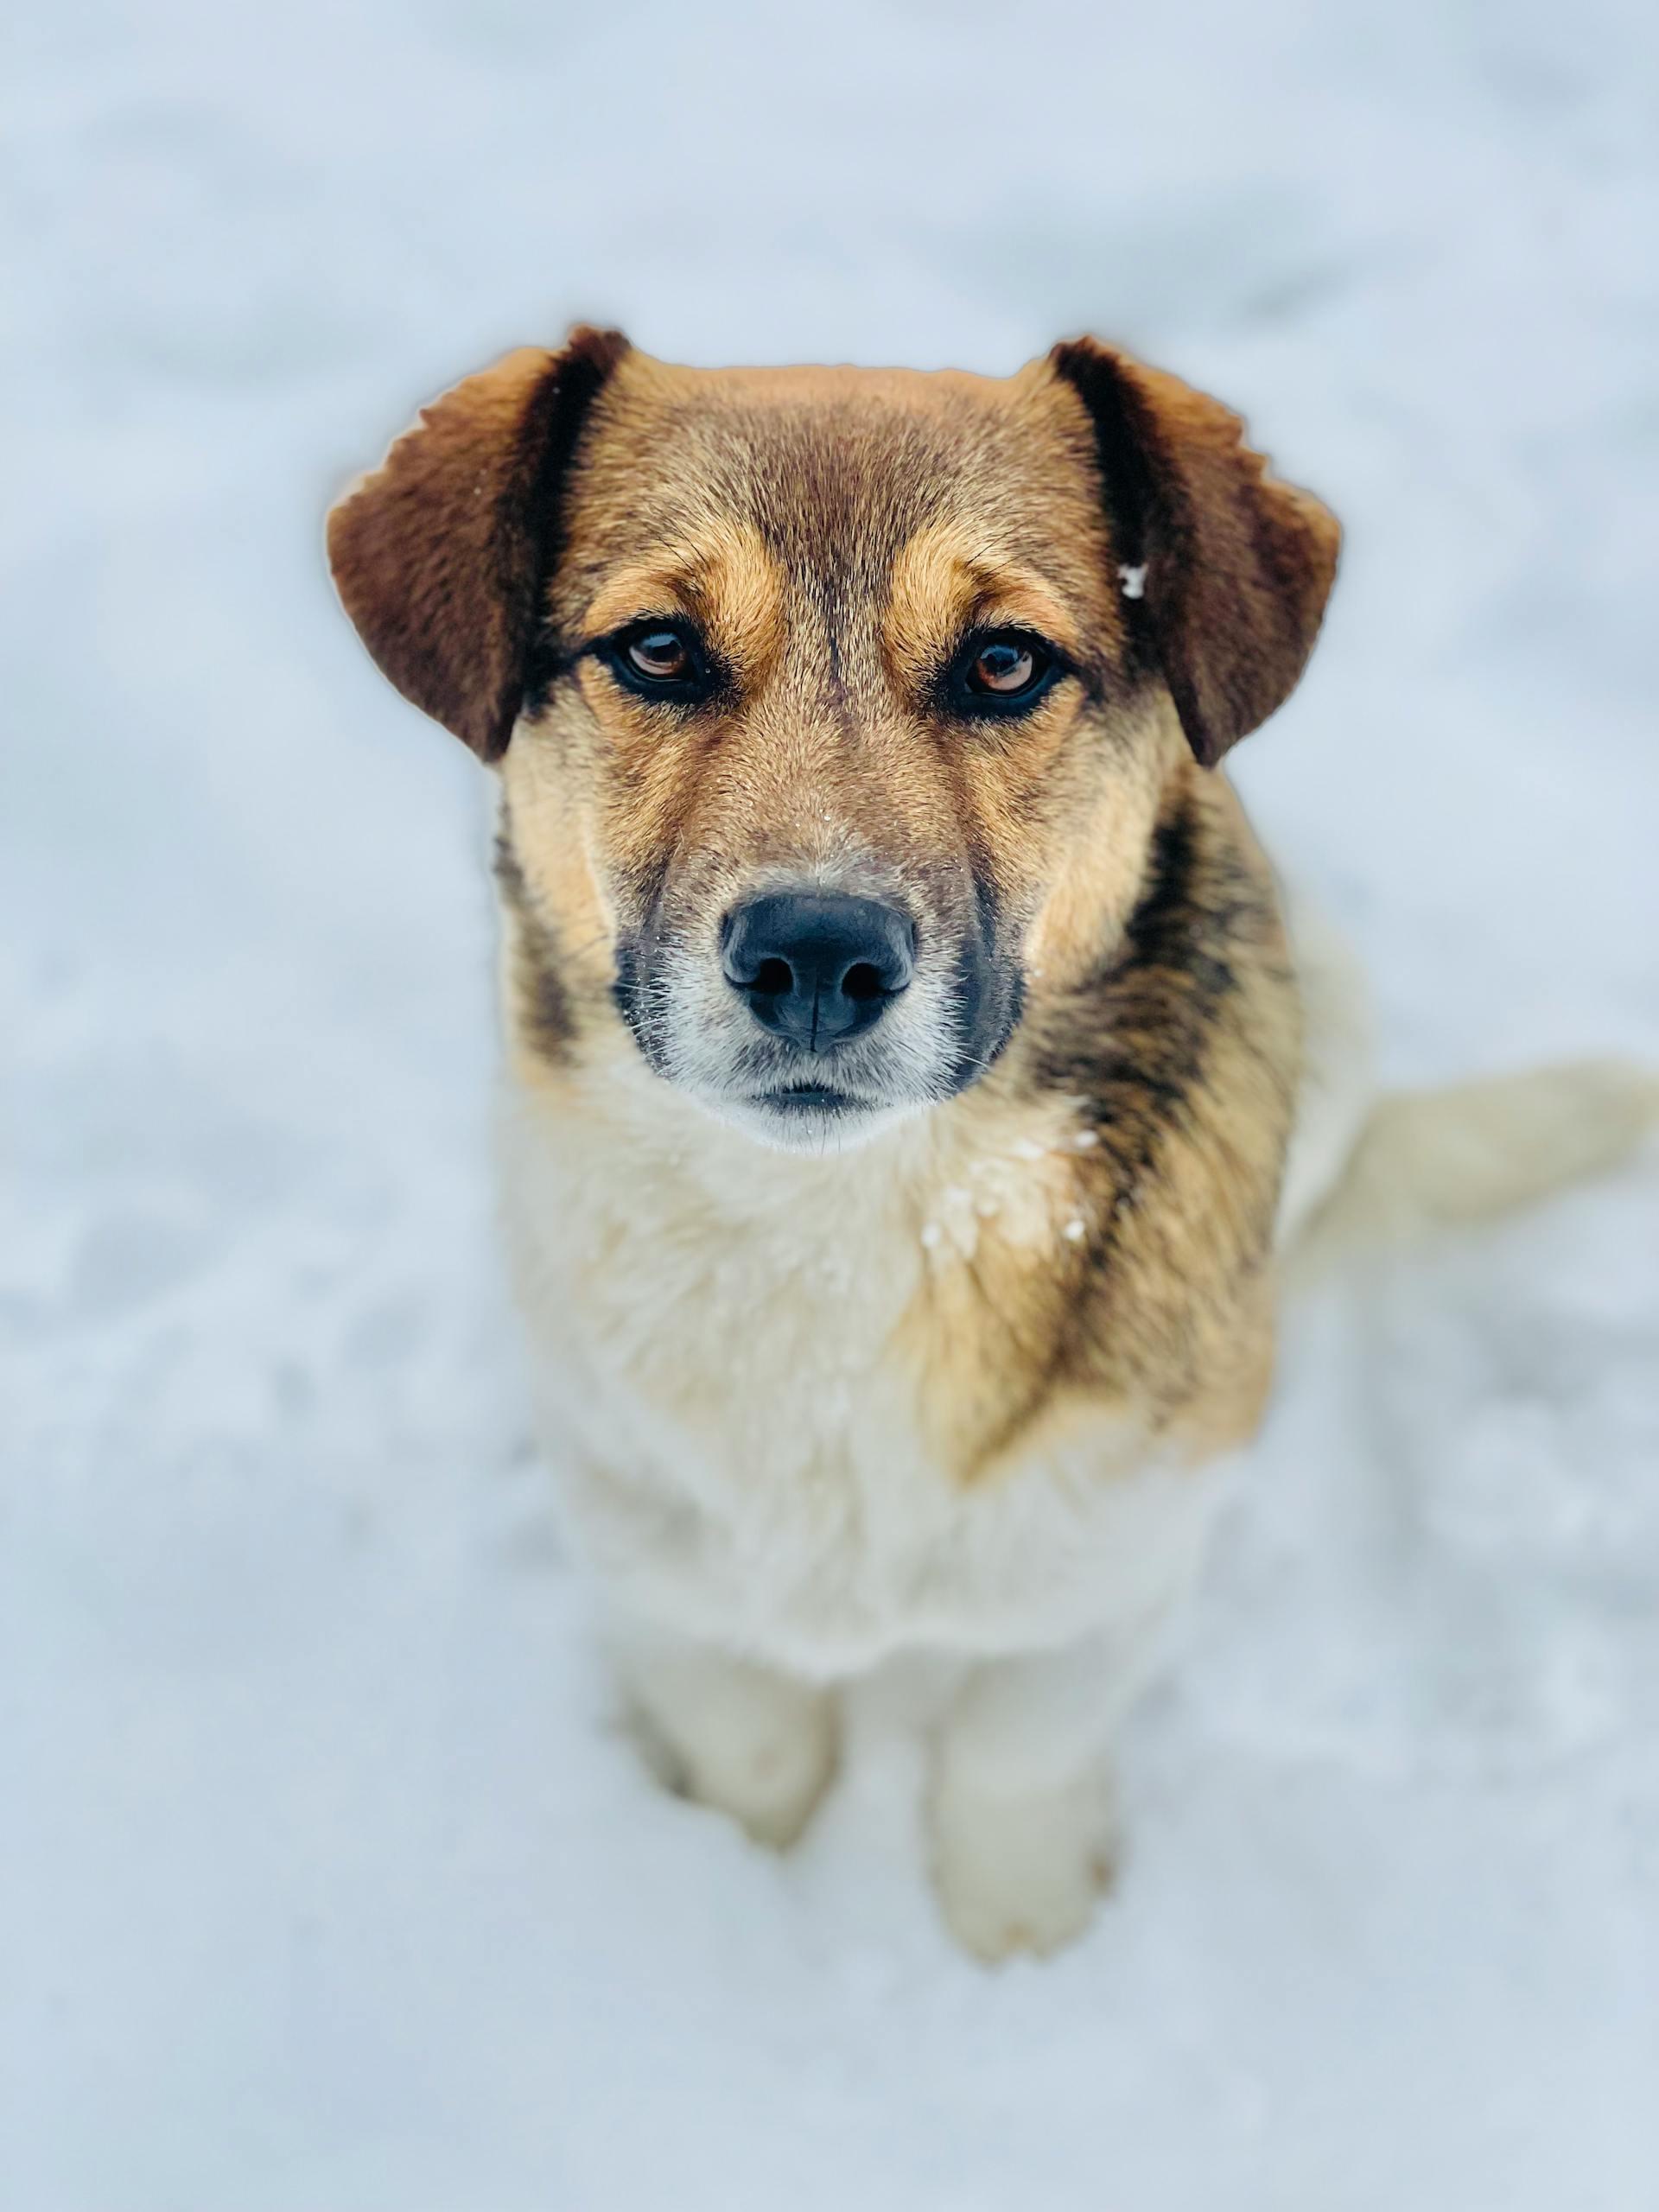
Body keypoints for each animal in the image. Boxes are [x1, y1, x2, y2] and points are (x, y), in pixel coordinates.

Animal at [327, 327, 1659, 1955]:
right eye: (656, 650)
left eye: (1005, 662)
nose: (816, 954)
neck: (843, 1226)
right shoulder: (656, 1565)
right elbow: (749, 1742)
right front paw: (739, 1888)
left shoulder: (1113, 1568)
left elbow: (1015, 1753)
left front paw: (1017, 1945)